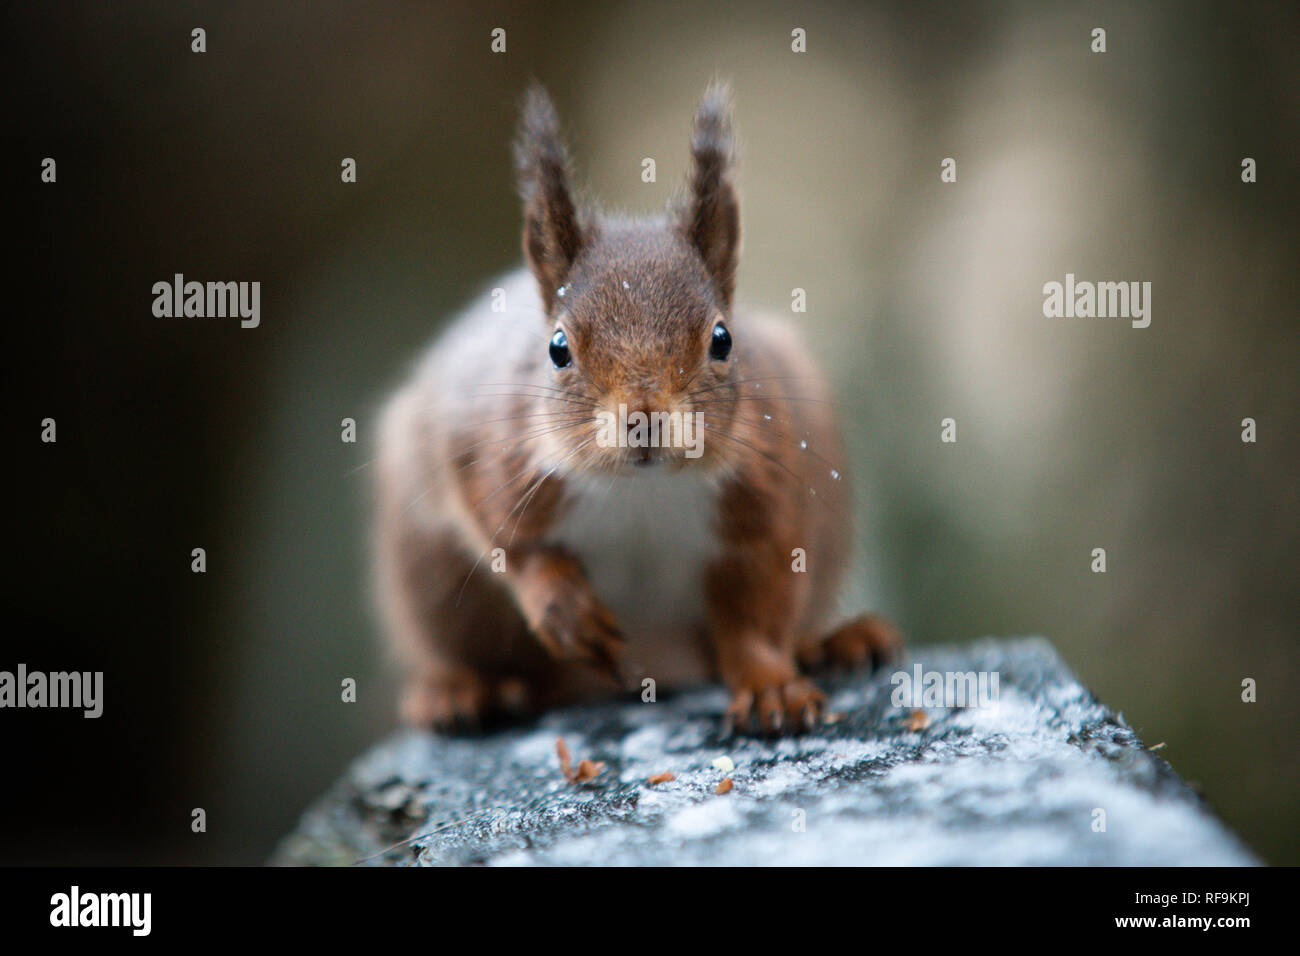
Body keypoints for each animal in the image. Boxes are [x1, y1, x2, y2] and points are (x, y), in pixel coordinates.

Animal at [374, 85, 894, 738]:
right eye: (558, 348)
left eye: (722, 339)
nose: (645, 417)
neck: (640, 492)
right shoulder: (487, 450)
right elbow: (510, 544)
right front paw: (563, 606)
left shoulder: (765, 493)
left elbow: (757, 611)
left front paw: (771, 685)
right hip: (431, 579)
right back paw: (456, 690)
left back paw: (834, 642)